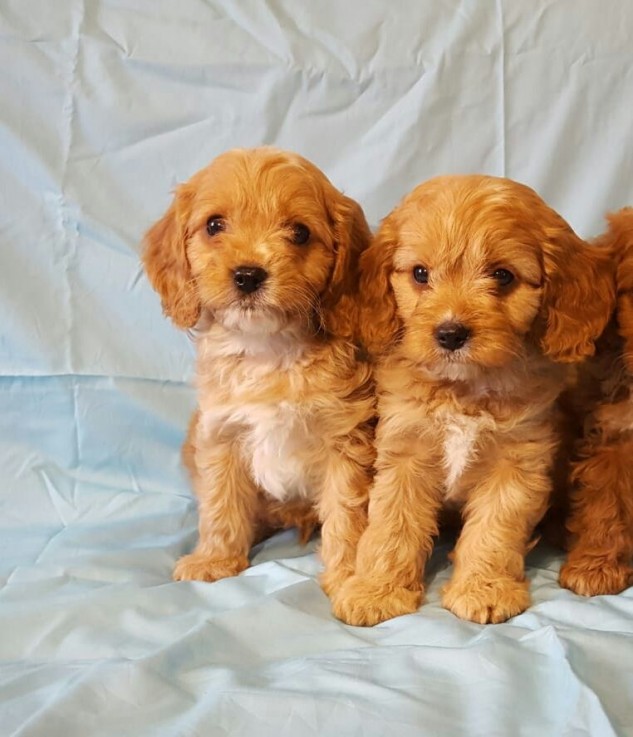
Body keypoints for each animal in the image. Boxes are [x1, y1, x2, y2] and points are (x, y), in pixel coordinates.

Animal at [142, 147, 376, 596]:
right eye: (214, 225)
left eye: (300, 232)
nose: (248, 275)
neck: (269, 350)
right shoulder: (221, 434)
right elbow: (221, 502)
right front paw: (215, 559)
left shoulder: (346, 438)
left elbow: (346, 510)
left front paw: (349, 575)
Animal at [334, 175, 616, 624]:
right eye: (420, 274)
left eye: (502, 276)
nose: (450, 334)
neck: (463, 389)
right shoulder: (404, 452)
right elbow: (392, 525)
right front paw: (376, 591)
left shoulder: (517, 461)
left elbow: (494, 529)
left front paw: (484, 589)